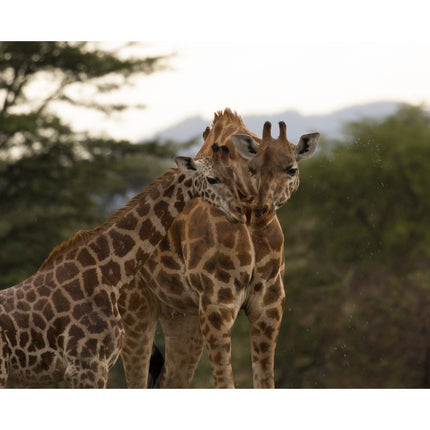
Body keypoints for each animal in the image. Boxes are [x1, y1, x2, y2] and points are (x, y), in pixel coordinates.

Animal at [0, 143, 245, 388]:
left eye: (234, 175)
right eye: (212, 179)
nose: (240, 211)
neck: (109, 277)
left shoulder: (93, 366)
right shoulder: (87, 365)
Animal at [118, 109, 320, 388]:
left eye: (292, 169)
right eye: (252, 168)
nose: (262, 211)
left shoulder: (269, 302)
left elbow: (265, 381)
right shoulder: (217, 301)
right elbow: (225, 382)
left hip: (181, 317)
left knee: (169, 380)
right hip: (136, 311)